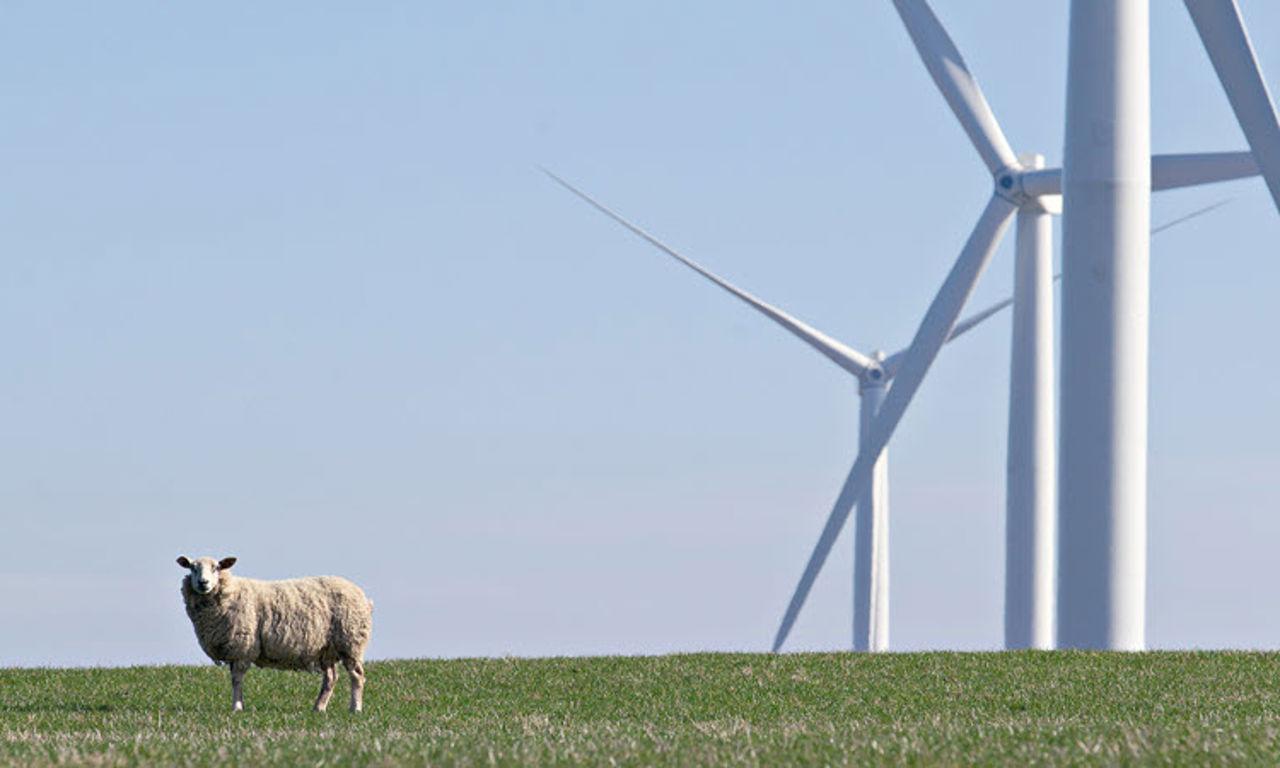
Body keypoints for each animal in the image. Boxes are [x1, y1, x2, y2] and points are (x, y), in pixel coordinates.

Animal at [172, 555, 371, 711]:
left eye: (216, 568)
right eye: (192, 568)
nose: (203, 583)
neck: (230, 591)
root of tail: (363, 596)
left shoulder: (243, 647)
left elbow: (237, 679)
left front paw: (237, 707)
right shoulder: (234, 650)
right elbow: (234, 679)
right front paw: (238, 705)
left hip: (350, 641)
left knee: (357, 676)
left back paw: (355, 708)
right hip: (326, 649)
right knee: (330, 678)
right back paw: (318, 708)